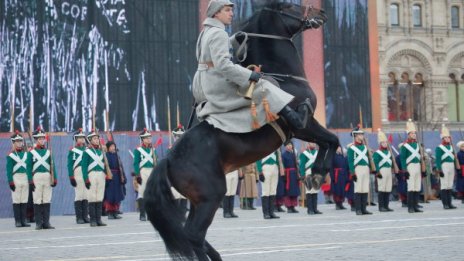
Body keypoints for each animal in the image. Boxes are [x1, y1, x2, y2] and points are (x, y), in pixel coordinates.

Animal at [144, 2, 338, 260]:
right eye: (288, 5)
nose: (321, 13)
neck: (286, 78)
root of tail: (167, 160)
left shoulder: (302, 131)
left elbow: (327, 142)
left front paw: (315, 174)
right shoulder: (304, 125)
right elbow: (332, 139)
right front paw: (317, 174)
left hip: (198, 201)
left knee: (191, 234)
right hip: (211, 197)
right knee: (193, 234)